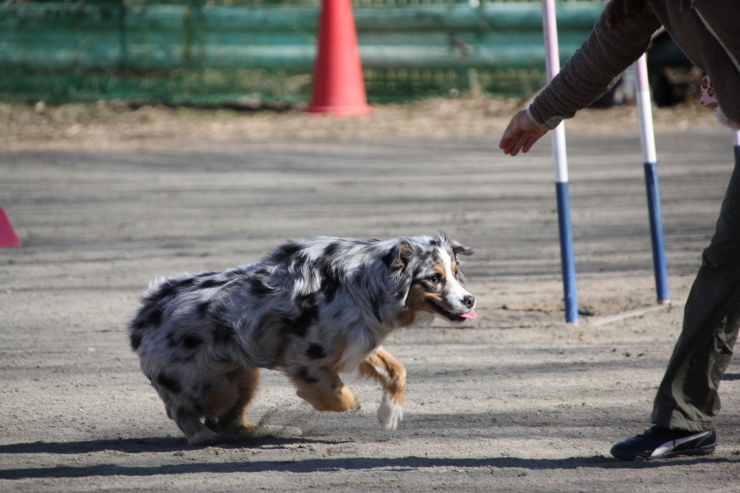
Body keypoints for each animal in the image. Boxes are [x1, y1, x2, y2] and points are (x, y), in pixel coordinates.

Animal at [129, 233, 476, 444]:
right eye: (434, 278)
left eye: (455, 272)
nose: (470, 300)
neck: (364, 284)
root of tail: (144, 315)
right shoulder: (307, 357)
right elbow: (342, 397)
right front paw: (323, 400)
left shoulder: (360, 340)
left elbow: (397, 370)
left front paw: (389, 413)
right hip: (209, 385)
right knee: (187, 415)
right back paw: (208, 437)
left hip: (244, 377)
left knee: (232, 420)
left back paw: (261, 431)